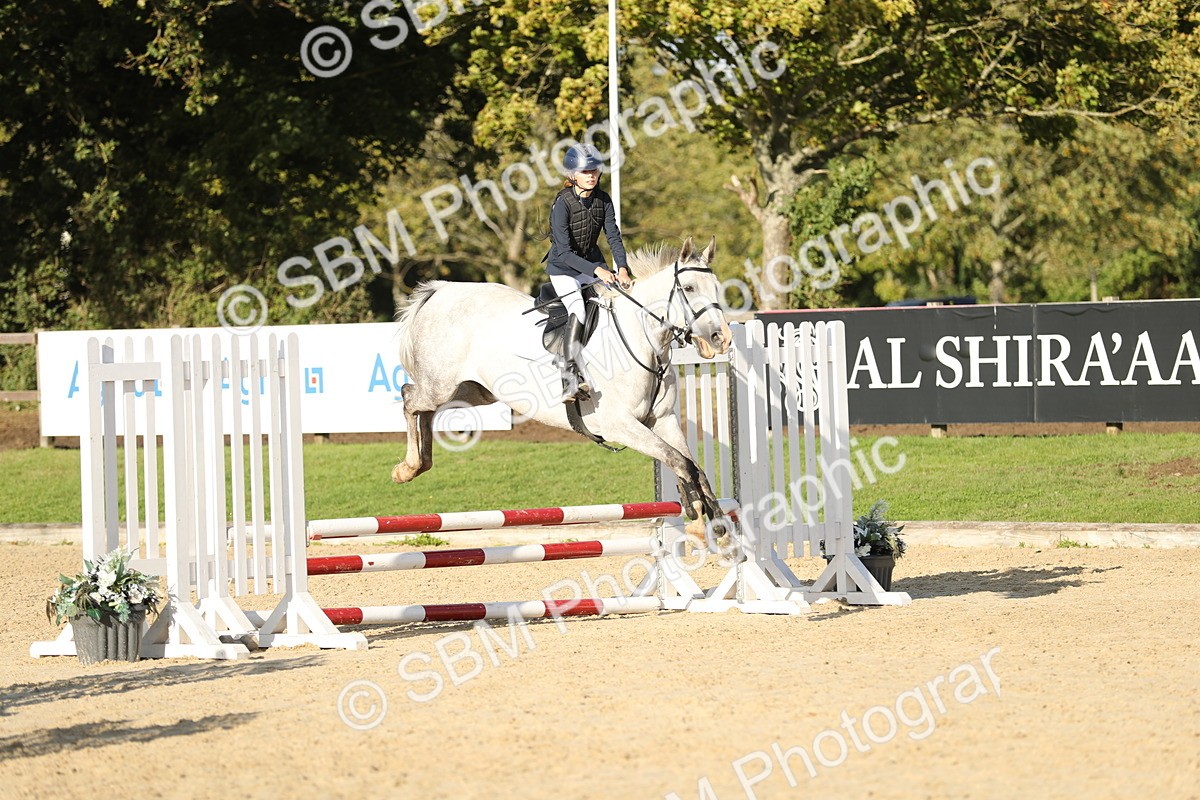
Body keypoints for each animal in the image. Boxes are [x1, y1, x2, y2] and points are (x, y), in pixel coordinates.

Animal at [391, 236, 733, 532]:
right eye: (688, 287)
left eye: (716, 287)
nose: (722, 338)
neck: (642, 340)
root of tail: (442, 291)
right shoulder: (620, 425)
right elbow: (679, 461)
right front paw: (697, 516)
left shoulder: (662, 420)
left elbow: (691, 465)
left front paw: (714, 519)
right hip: (440, 385)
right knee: (409, 398)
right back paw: (408, 467)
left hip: (472, 392)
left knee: (425, 410)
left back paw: (419, 463)